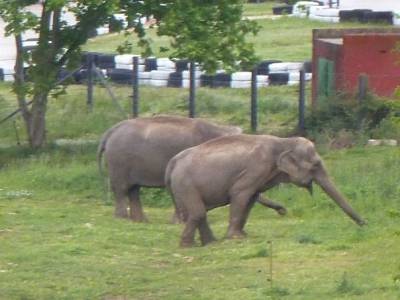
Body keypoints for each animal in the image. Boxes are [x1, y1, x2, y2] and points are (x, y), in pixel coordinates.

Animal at [98, 116, 288, 221]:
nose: (283, 211)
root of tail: (109, 132)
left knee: (133, 190)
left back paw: (141, 220)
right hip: (119, 161)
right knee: (122, 189)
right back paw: (123, 218)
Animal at [165, 135, 366, 247]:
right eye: (316, 164)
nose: (366, 224)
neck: (284, 142)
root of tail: (172, 162)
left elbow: (251, 199)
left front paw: (242, 234)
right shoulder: (255, 168)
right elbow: (240, 194)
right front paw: (235, 238)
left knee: (199, 213)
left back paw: (210, 243)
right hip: (185, 184)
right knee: (198, 212)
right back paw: (188, 246)